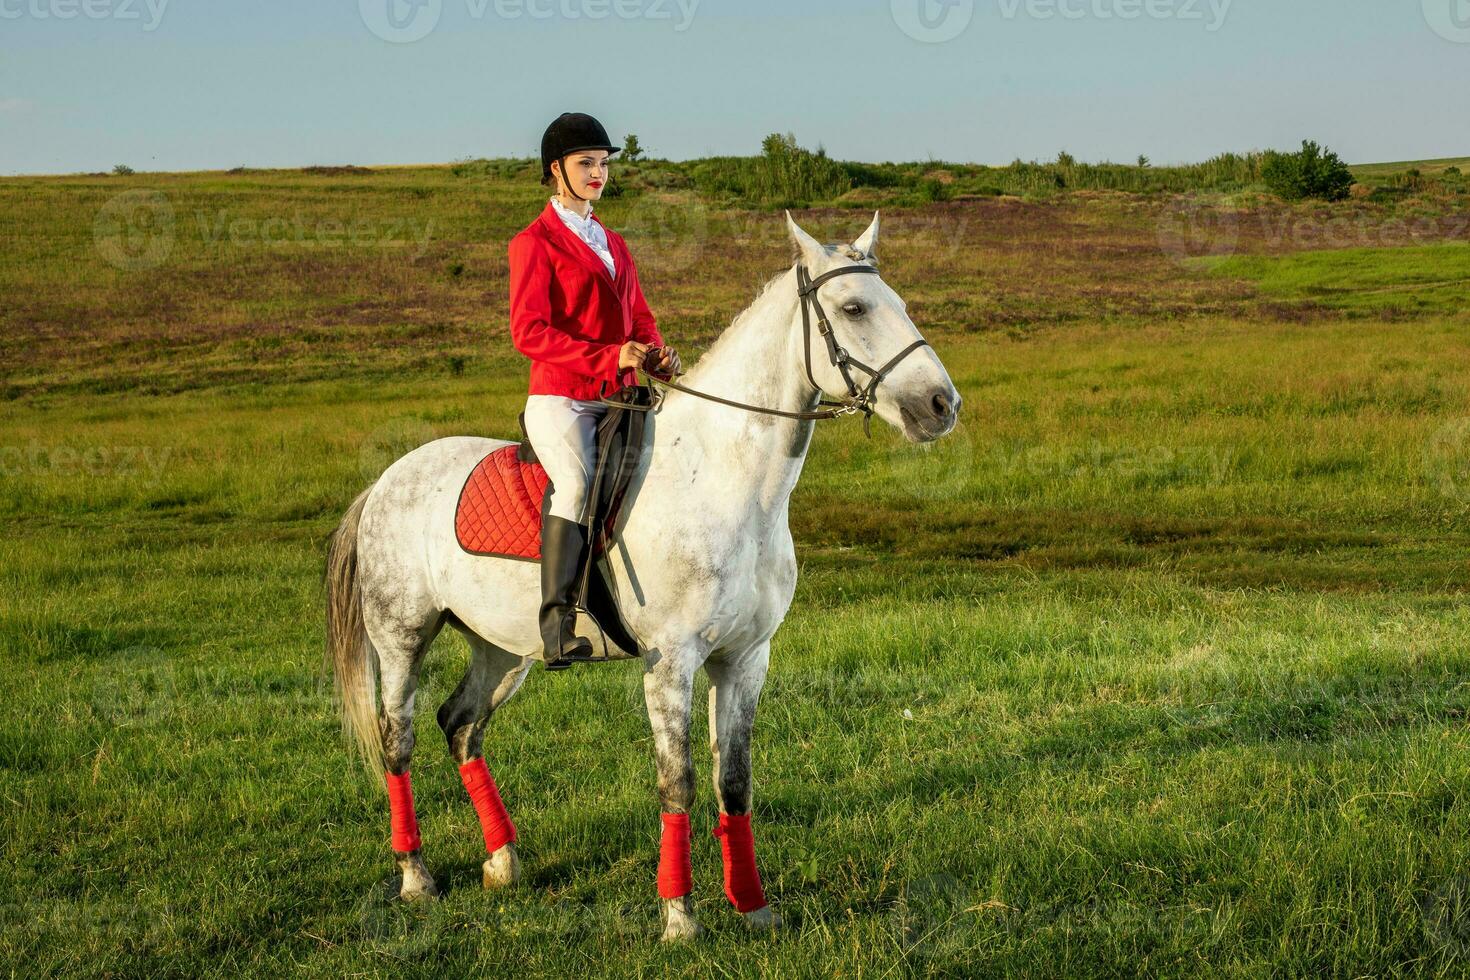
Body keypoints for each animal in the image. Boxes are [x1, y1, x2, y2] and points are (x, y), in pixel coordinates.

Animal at [326, 208, 958, 940]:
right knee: (397, 740)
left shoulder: (746, 659)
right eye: (854, 308)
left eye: (901, 304)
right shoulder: (672, 662)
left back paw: (503, 862)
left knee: (460, 724)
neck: (728, 480)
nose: (942, 404)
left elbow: (733, 781)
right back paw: (415, 877)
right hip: (402, 638)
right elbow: (676, 782)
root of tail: (383, 480)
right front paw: (680, 916)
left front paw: (752, 906)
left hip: (502, 648)